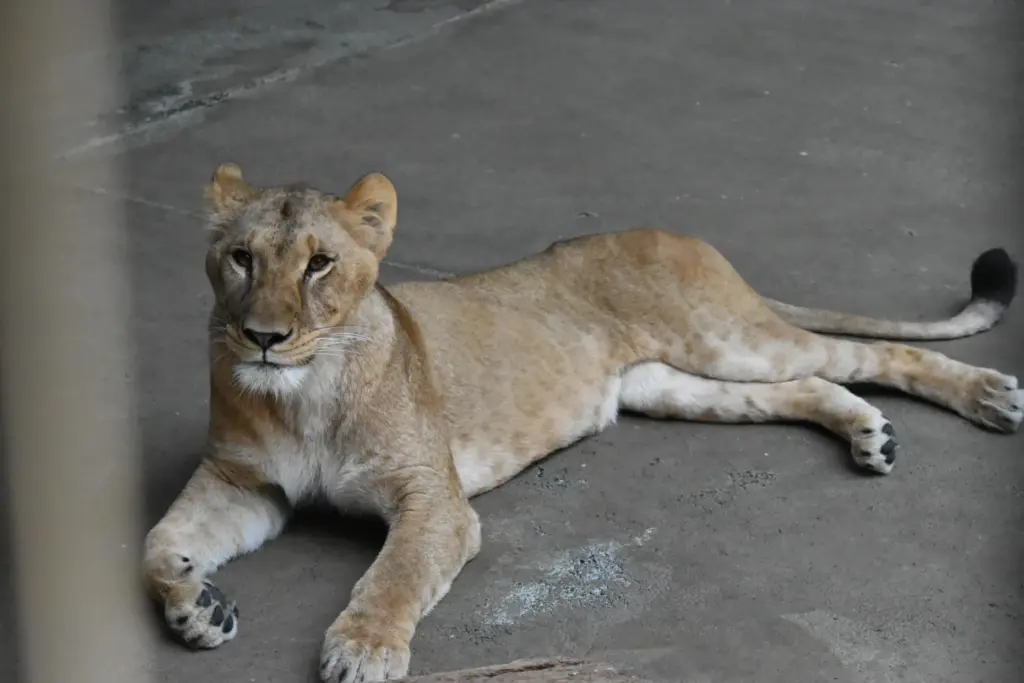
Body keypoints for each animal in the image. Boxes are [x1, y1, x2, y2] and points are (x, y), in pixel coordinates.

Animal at [143, 164, 1020, 682]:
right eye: (242, 258)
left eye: (319, 263)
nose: (263, 335)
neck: (303, 392)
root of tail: (673, 232)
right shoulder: (245, 483)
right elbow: (157, 545)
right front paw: (198, 606)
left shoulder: (434, 498)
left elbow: (395, 573)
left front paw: (363, 648)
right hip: (673, 384)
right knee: (811, 382)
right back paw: (871, 432)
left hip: (730, 340)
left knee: (869, 350)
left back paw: (989, 397)